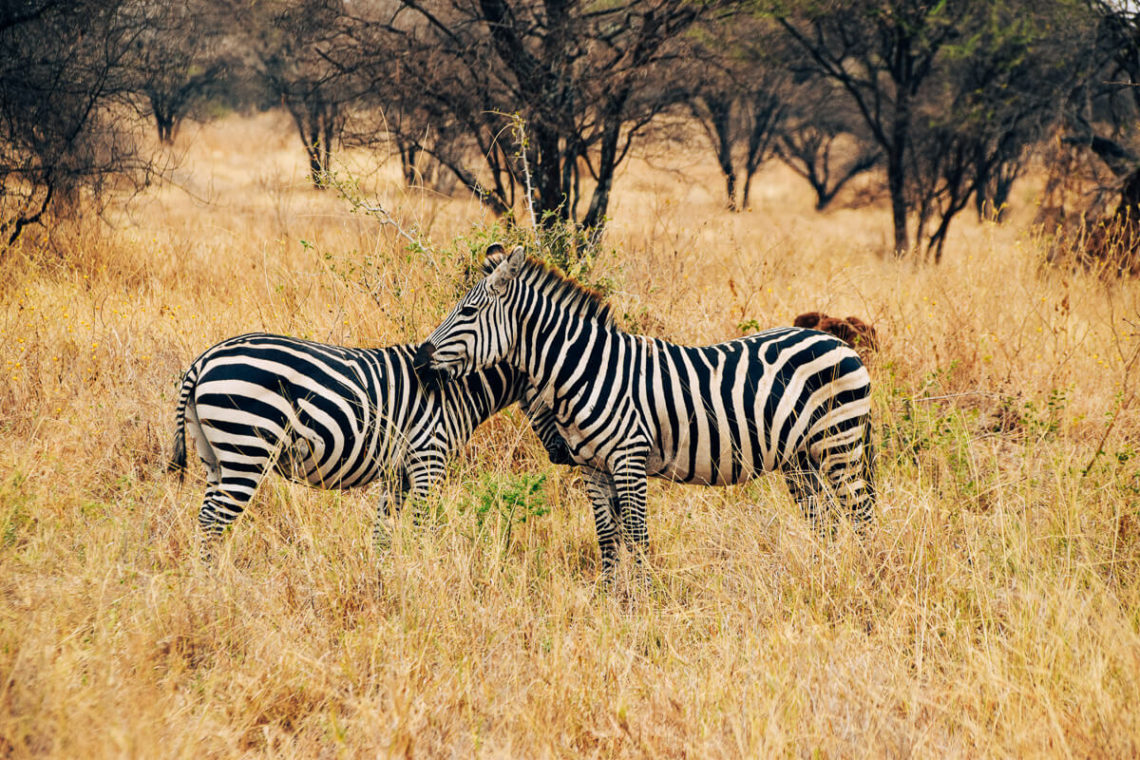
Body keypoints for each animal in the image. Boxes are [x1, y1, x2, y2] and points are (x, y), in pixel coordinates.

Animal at [169, 330, 570, 558]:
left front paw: (384, 579)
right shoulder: (429, 459)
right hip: (247, 450)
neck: (457, 388)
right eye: (560, 397)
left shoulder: (400, 472)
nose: (565, 455)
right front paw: (424, 578)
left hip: (215, 456)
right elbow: (423, 528)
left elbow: (383, 532)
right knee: (214, 521)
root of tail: (204, 360)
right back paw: (216, 589)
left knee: (206, 518)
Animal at [417, 247, 870, 578]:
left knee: (860, 514)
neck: (589, 369)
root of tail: (838, 343)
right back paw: (824, 575)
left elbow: (637, 536)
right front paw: (610, 600)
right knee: (825, 522)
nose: (420, 359)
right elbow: (607, 537)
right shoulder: (594, 467)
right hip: (802, 460)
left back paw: (867, 577)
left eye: (468, 312)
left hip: (840, 445)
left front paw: (644, 604)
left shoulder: (629, 458)